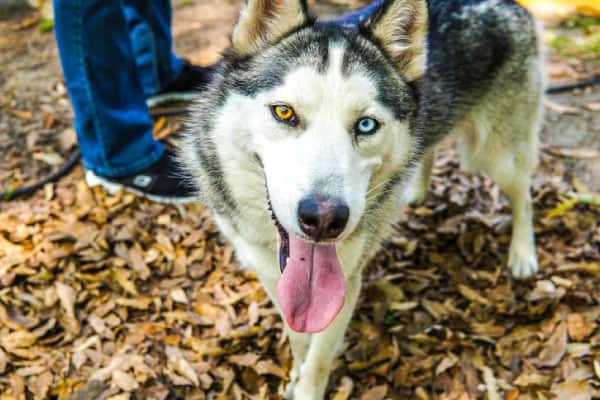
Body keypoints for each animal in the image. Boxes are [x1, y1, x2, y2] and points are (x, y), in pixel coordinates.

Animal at [179, 0, 544, 396]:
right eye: (284, 112)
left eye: (366, 125)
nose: (324, 219)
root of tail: (513, 6)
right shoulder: (269, 276)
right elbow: (298, 338)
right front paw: (293, 374)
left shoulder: (345, 286)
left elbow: (318, 361)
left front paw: (305, 388)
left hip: (494, 157)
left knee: (524, 193)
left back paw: (523, 253)